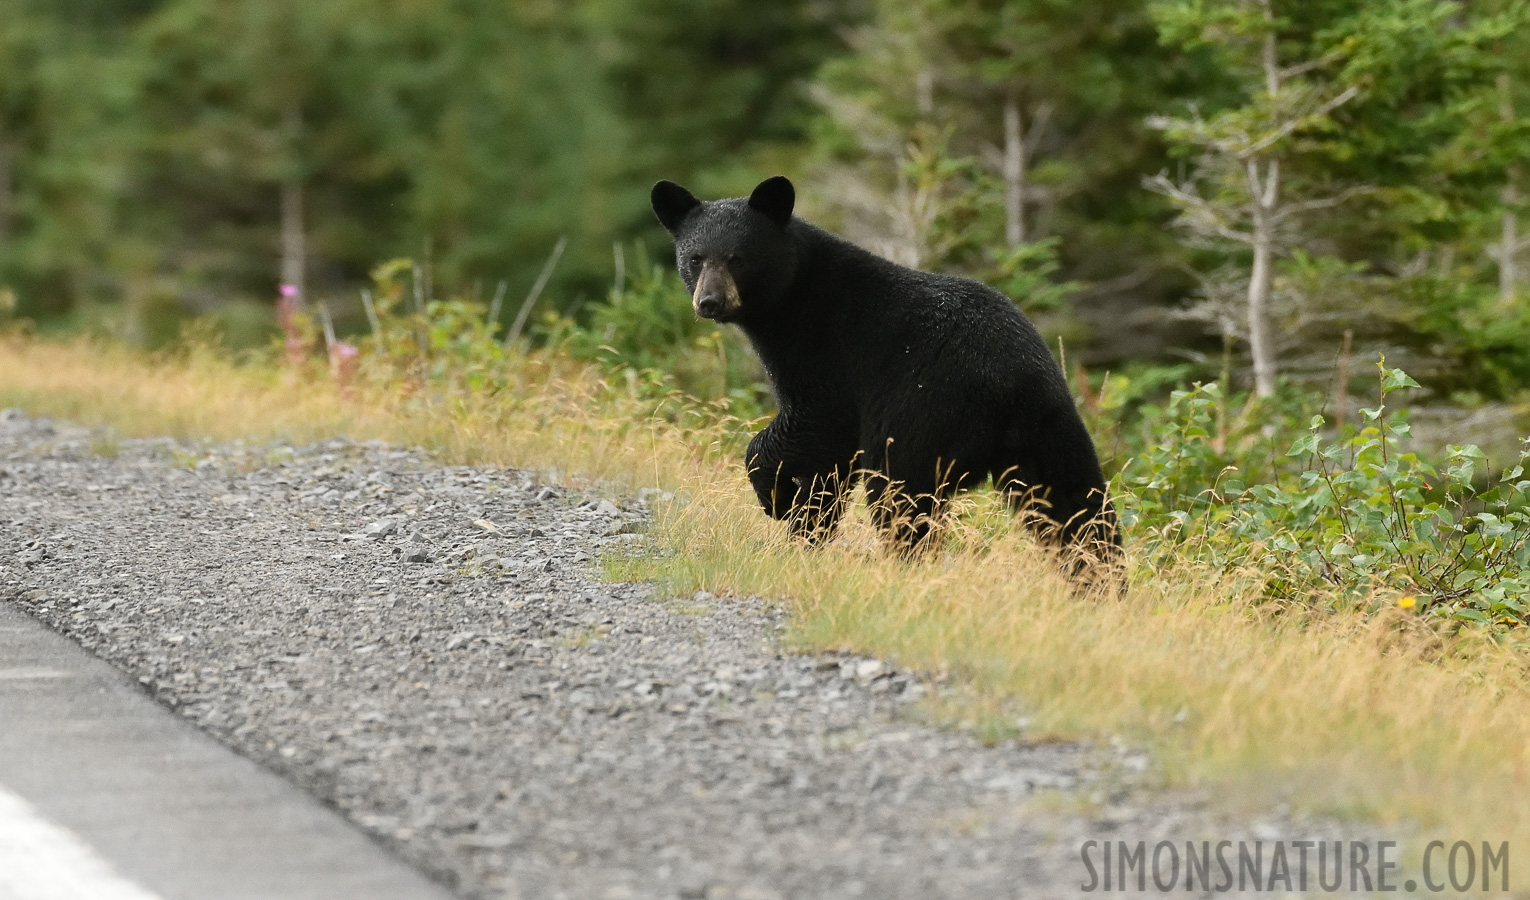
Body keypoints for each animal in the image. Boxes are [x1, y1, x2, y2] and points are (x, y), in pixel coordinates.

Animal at [651, 172, 1119, 560]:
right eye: (695, 258)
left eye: (737, 258)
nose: (709, 301)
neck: (794, 296)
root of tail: (1012, 386)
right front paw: (803, 521)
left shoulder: (826, 351)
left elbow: (815, 427)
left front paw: (780, 501)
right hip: (1050, 426)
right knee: (1075, 504)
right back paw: (1099, 580)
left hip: (924, 412)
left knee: (900, 492)